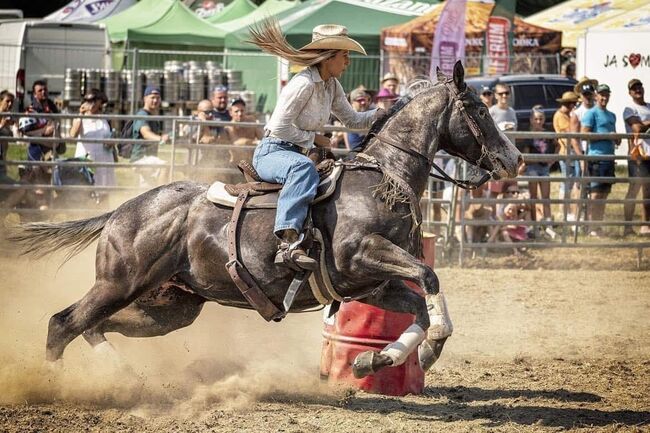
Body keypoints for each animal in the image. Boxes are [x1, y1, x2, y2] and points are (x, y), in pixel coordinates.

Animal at [10, 61, 520, 378]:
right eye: (478, 108)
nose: (513, 159)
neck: (382, 178)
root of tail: (123, 210)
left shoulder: (371, 283)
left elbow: (419, 307)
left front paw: (375, 362)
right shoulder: (363, 255)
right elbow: (430, 279)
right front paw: (424, 351)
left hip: (169, 306)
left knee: (91, 327)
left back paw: (124, 377)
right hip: (119, 283)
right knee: (62, 324)